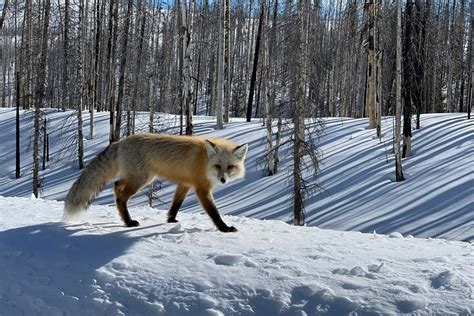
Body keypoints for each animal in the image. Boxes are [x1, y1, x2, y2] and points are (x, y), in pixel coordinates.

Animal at [63, 133, 248, 232]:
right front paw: (224, 228)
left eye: (230, 167)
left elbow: (176, 205)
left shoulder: (185, 184)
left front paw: (170, 219)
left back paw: (123, 215)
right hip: (141, 180)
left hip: (137, 177)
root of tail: (121, 141)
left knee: (117, 185)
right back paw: (128, 222)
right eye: (218, 166)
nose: (223, 180)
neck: (204, 161)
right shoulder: (202, 189)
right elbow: (214, 212)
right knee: (122, 196)